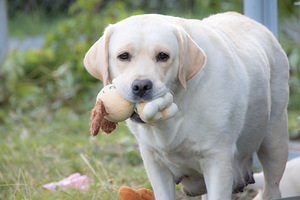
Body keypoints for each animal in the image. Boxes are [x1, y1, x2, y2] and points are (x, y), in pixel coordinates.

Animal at [83, 12, 290, 200]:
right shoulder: (154, 163)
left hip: (275, 142)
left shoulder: (218, 161)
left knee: (272, 186)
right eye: (123, 56)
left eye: (163, 56)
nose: (141, 86)